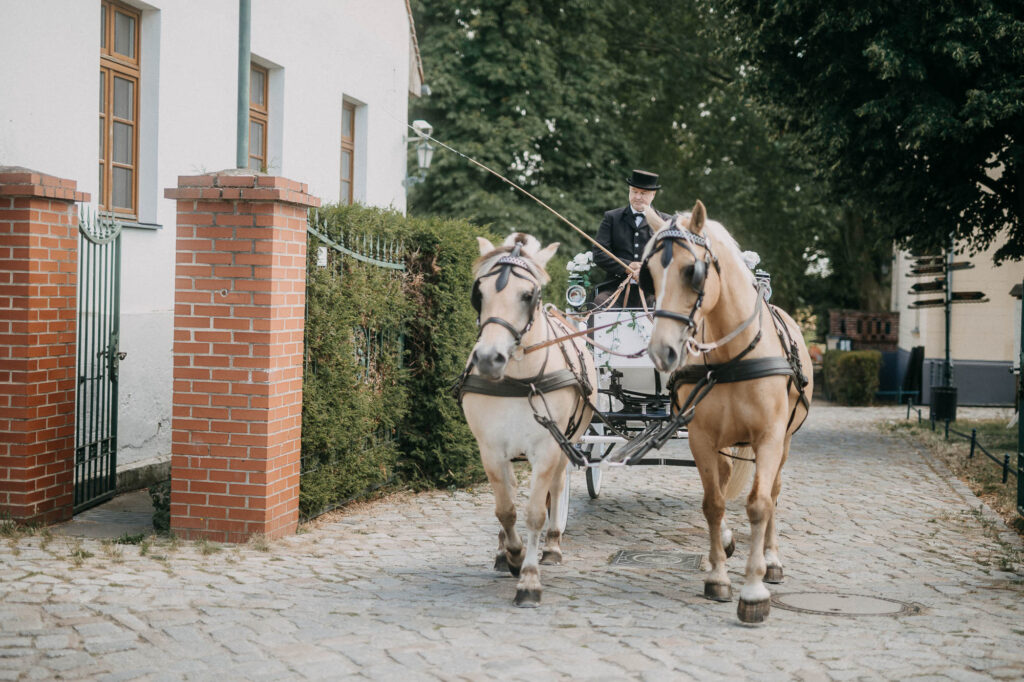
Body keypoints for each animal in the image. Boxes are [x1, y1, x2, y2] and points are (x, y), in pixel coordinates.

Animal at [460, 231, 598, 602]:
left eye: (528, 295)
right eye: (479, 292)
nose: (489, 358)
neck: (519, 380)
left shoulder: (549, 447)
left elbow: (536, 512)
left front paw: (530, 578)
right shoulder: (491, 449)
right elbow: (505, 508)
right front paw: (512, 554)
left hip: (569, 441)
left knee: (557, 486)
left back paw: (552, 545)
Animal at [643, 200, 811, 622]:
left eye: (692, 271)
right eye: (649, 274)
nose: (662, 351)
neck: (732, 358)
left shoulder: (769, 438)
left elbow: (759, 504)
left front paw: (753, 590)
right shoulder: (701, 439)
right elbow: (713, 503)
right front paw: (718, 575)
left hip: (784, 443)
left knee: (774, 492)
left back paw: (771, 560)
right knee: (720, 482)